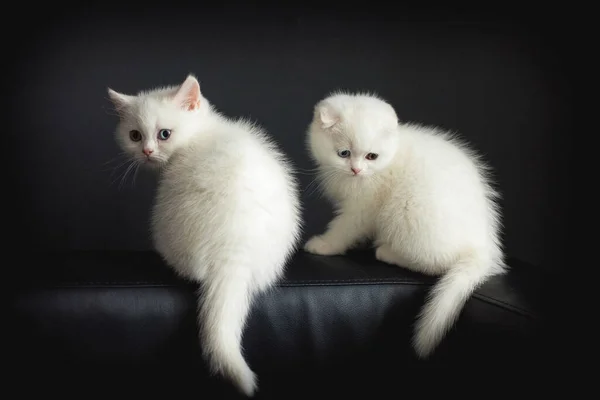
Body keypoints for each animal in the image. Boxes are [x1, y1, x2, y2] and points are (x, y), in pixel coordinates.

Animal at [304, 91, 506, 360]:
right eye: (343, 153)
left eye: (371, 156)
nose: (356, 170)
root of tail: (483, 248)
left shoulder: (364, 207)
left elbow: (345, 228)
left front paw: (325, 245)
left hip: (407, 211)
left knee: (434, 263)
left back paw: (387, 252)